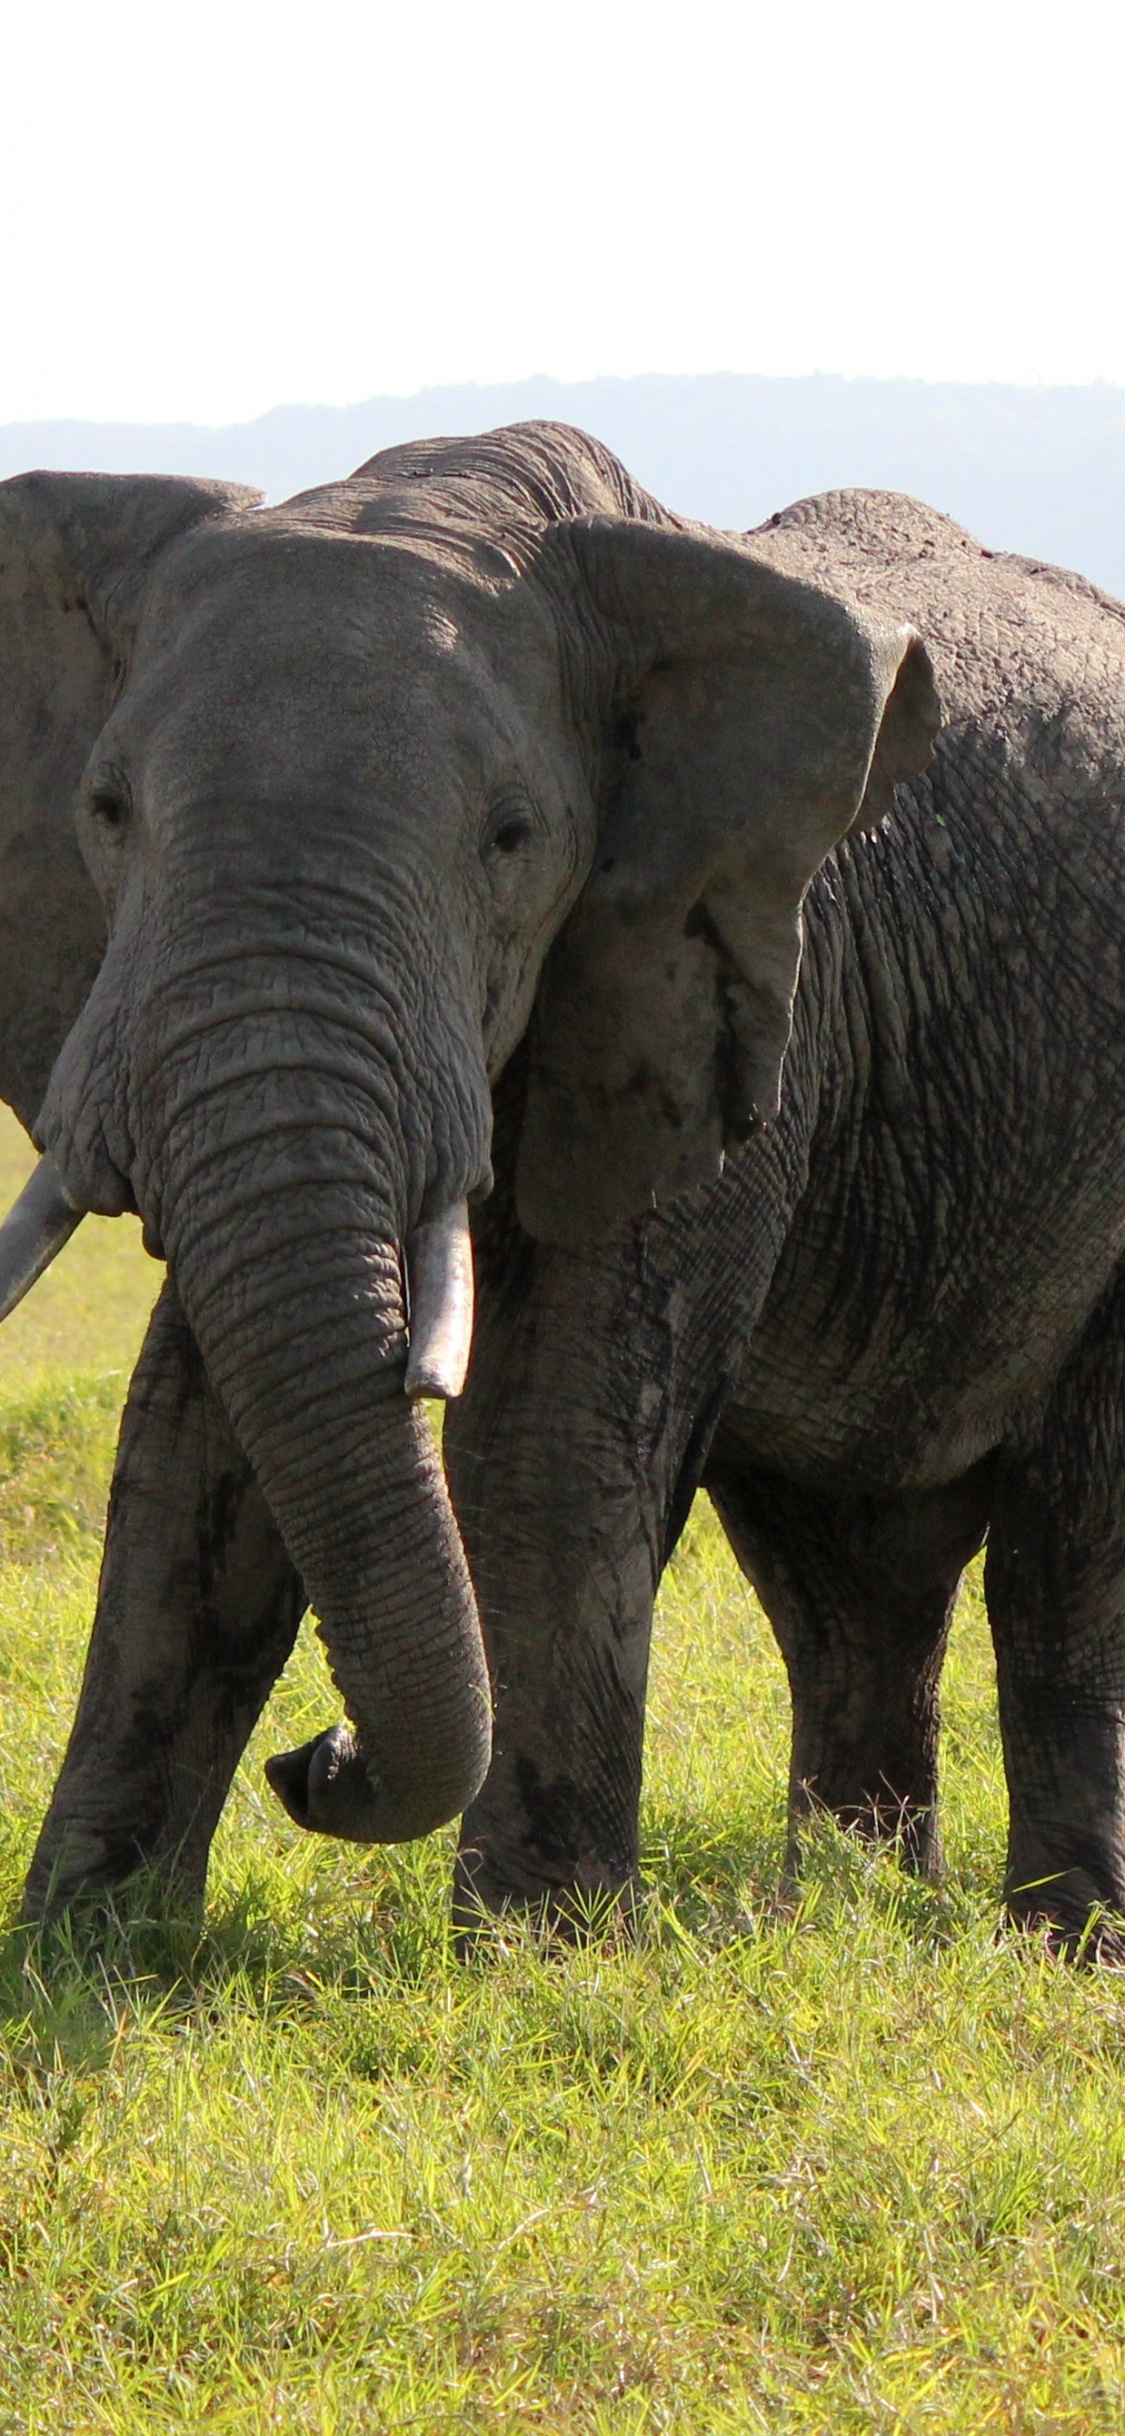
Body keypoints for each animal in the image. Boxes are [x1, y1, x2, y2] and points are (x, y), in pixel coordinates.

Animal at [0, 428, 930, 1929]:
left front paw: (535, 1946)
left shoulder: (723, 1005)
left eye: (510, 838)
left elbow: (554, 1434)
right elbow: (191, 1443)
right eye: (105, 808)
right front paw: (88, 1943)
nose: (317, 1757)